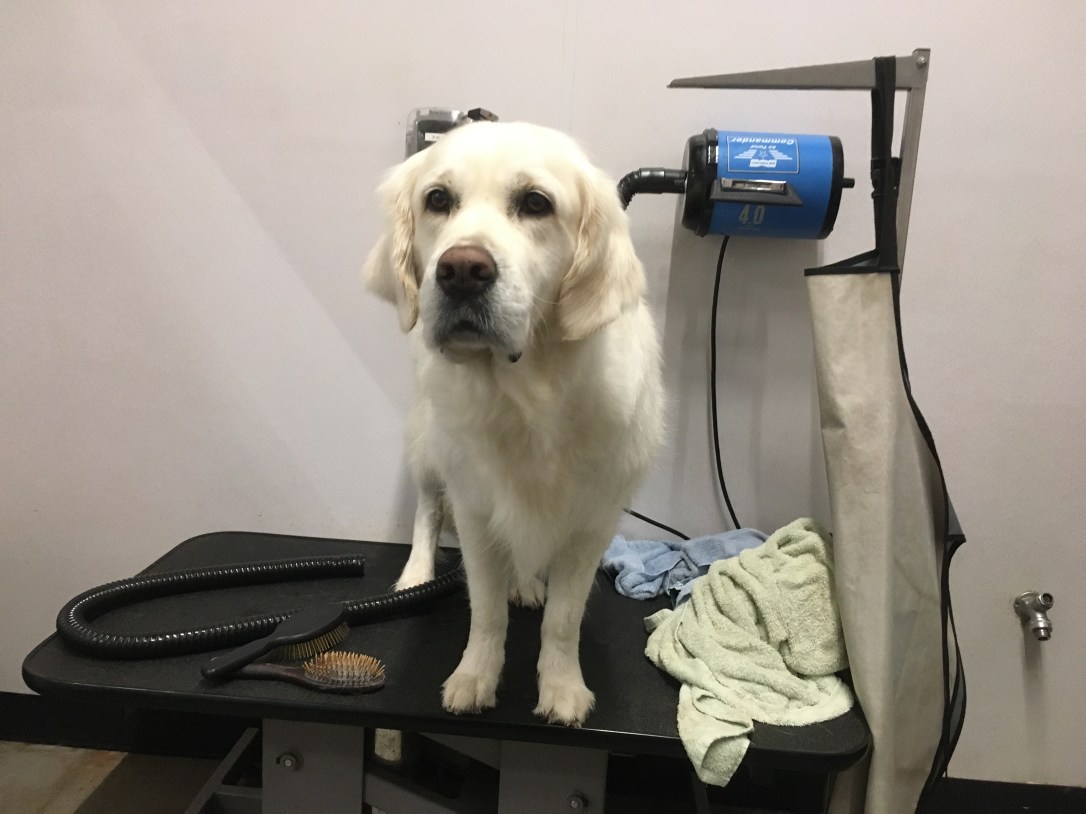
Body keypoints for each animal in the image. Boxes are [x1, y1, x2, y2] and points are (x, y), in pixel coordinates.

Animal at [364, 121, 663, 726]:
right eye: (438, 200)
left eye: (535, 203)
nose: (461, 270)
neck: (528, 400)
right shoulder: (476, 510)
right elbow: (485, 611)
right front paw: (475, 676)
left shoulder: (590, 523)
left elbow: (563, 621)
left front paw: (563, 687)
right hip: (429, 448)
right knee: (427, 513)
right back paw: (416, 575)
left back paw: (525, 585)